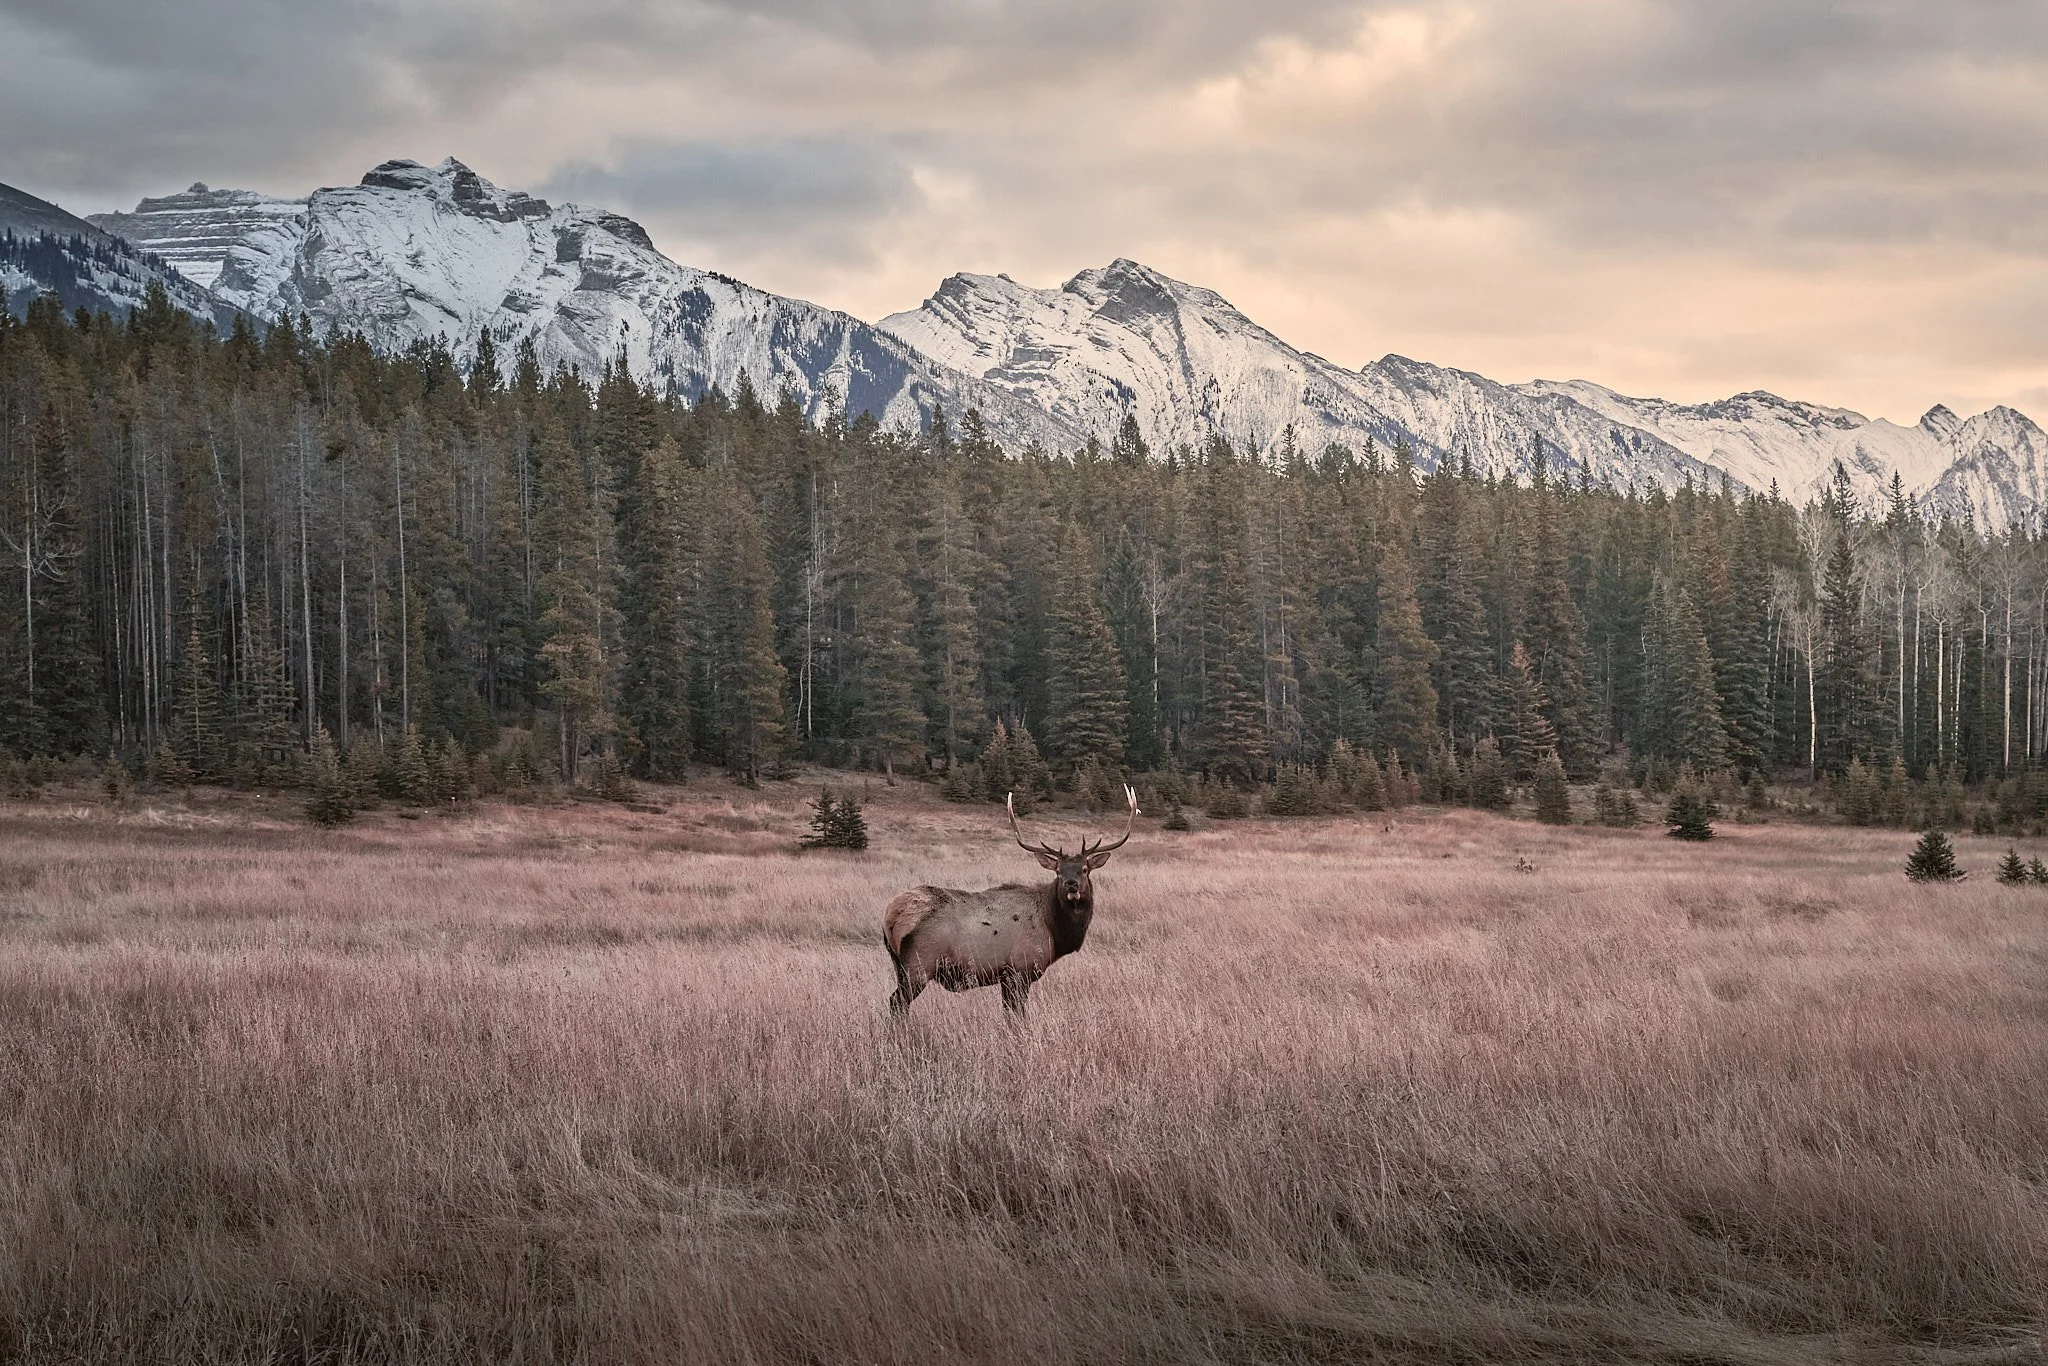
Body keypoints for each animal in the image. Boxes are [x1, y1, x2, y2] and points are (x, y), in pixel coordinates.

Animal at [884, 785, 1139, 1019]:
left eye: (1084, 869)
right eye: (1058, 871)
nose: (1071, 885)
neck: (1054, 931)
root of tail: (891, 915)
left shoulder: (1007, 976)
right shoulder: (1020, 969)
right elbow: (1017, 1016)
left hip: (899, 964)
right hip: (919, 963)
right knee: (897, 1002)